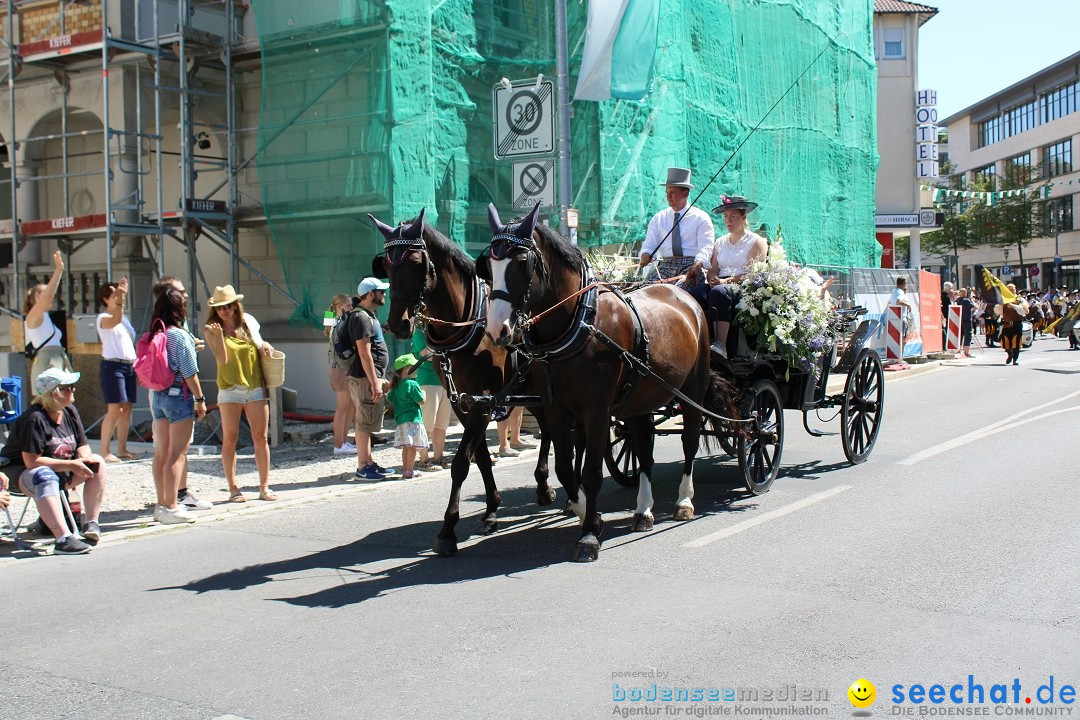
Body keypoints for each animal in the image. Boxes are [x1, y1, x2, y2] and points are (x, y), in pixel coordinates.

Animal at [369, 209, 574, 557]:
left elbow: (461, 463)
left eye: (417, 262)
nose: (399, 324)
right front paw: (491, 511)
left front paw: (448, 529)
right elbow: (481, 459)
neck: (466, 325)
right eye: (387, 266)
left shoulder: (484, 400)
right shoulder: (465, 403)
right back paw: (544, 485)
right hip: (534, 390)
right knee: (548, 430)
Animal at [486, 202, 738, 561]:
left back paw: (684, 502)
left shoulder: (597, 412)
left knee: (689, 442)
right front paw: (583, 512)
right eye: (488, 264)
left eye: (523, 261)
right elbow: (566, 469)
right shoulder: (555, 412)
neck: (579, 322)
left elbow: (591, 472)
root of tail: (684, 294)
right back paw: (643, 510)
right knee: (644, 448)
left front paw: (590, 534)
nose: (497, 330)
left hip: (693, 391)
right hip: (640, 400)